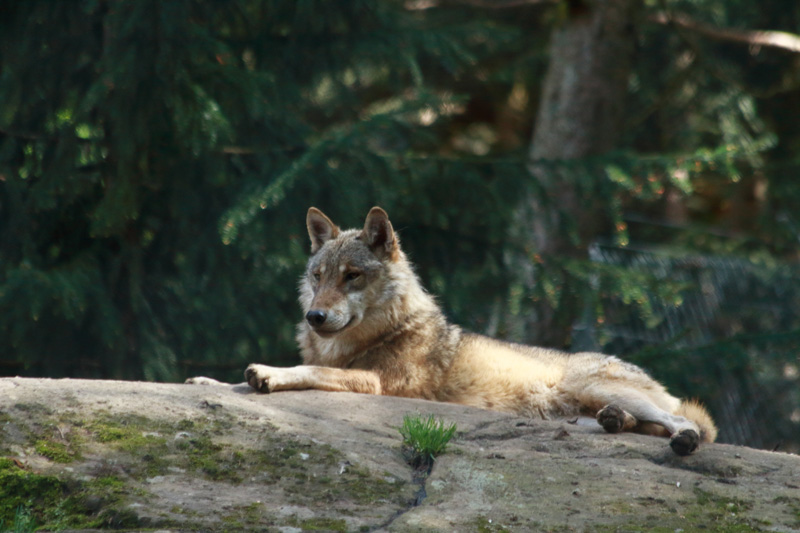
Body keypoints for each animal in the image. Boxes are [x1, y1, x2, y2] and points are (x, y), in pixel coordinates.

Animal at [189, 206, 720, 456]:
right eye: (318, 277)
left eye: (352, 276)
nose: (314, 318)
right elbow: (244, 378)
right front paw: (207, 381)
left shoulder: (380, 384)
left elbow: (307, 371)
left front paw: (269, 373)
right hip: (572, 410)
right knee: (633, 423)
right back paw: (614, 423)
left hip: (591, 384)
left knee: (684, 421)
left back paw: (682, 440)